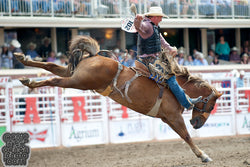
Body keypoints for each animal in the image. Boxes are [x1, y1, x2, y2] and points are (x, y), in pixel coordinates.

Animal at [14, 35, 223, 163]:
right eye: (212, 106)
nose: (197, 124)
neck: (177, 87)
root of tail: (95, 56)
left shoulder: (167, 118)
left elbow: (183, 135)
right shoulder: (173, 116)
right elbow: (186, 136)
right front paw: (204, 156)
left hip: (75, 74)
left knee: (53, 67)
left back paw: (23, 60)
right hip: (79, 81)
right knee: (55, 80)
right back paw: (29, 81)